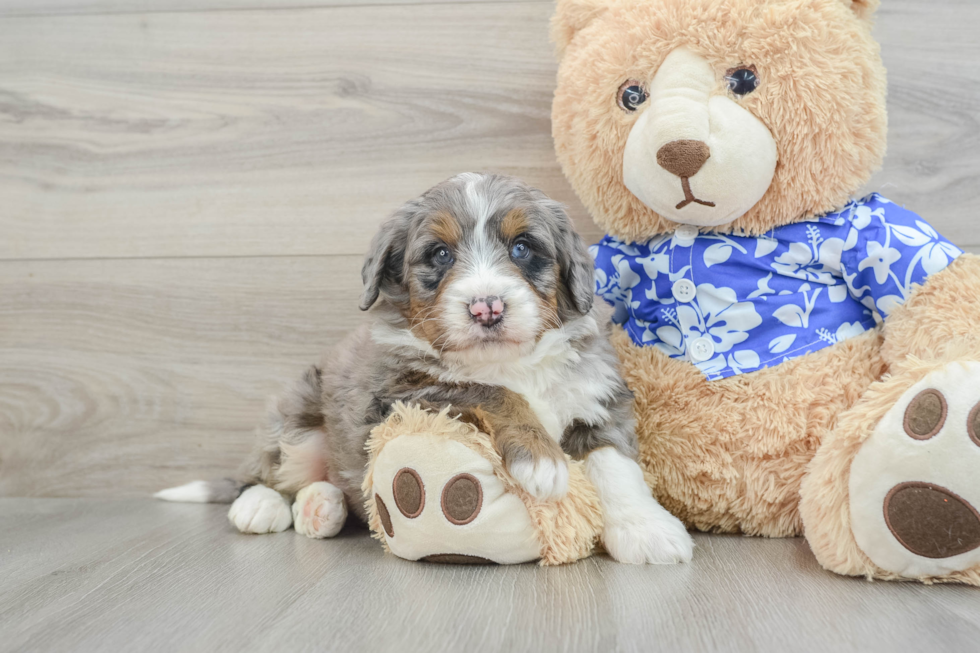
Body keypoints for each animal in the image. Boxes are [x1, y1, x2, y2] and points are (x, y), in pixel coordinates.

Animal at [161, 173, 692, 564]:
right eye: (440, 253)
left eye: (523, 248)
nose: (486, 308)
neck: (508, 361)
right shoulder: (397, 393)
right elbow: (490, 391)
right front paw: (540, 458)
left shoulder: (596, 396)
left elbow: (616, 465)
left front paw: (647, 530)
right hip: (298, 417)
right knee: (269, 470)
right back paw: (261, 504)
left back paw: (320, 508)